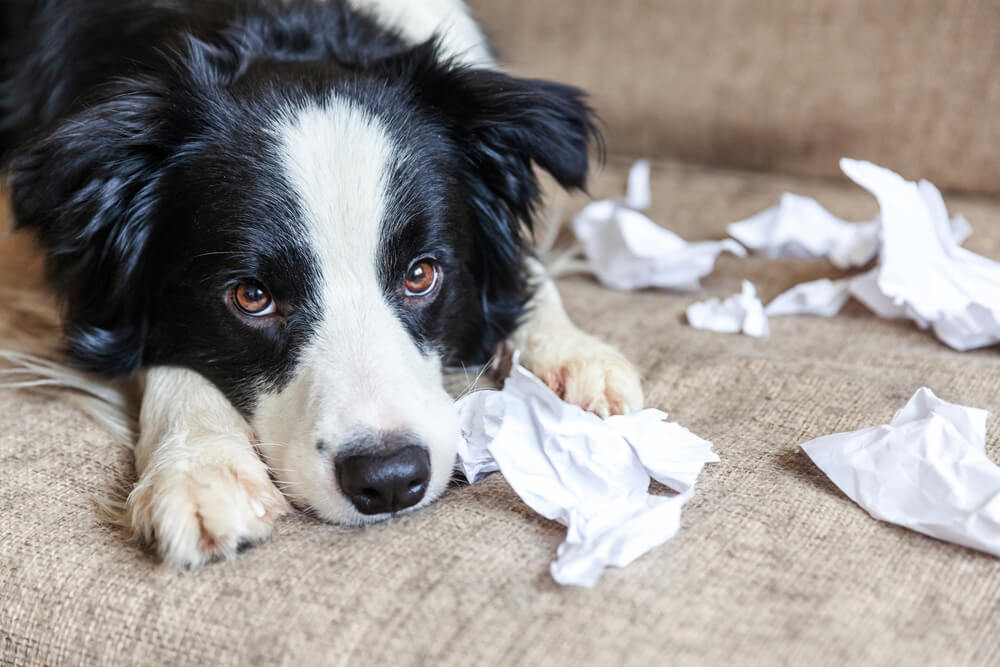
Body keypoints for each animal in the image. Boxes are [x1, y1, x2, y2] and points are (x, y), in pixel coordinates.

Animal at [1, 0, 640, 568]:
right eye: (252, 296)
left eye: (421, 274)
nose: (389, 480)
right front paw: (199, 469)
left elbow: (526, 271)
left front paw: (572, 356)